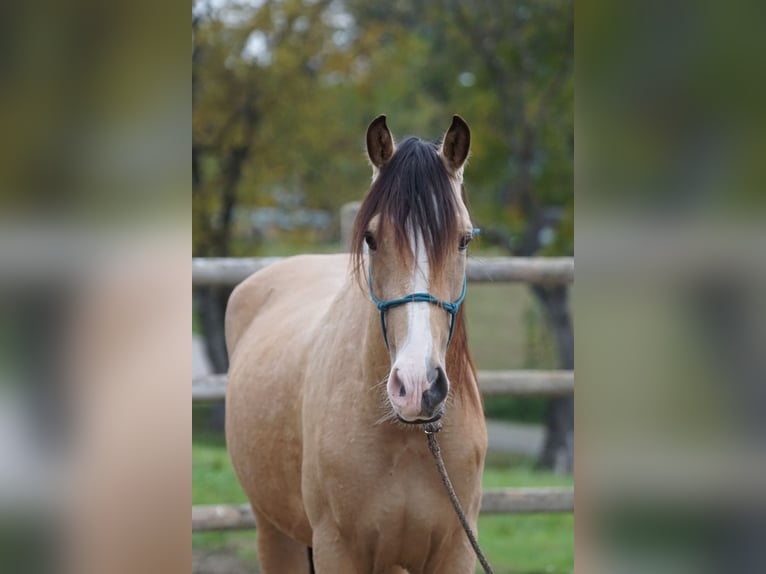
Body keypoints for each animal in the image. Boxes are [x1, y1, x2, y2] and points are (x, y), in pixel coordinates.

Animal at [225, 115, 488, 573]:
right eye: (371, 238)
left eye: (464, 239)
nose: (417, 386)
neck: (407, 438)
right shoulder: (337, 549)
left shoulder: (455, 550)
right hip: (274, 532)